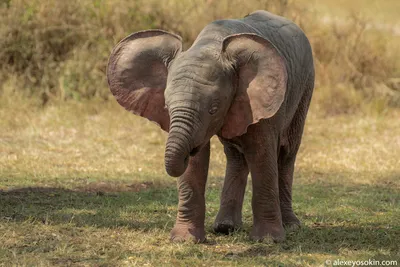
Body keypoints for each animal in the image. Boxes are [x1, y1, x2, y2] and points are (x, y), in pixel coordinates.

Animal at [108, 9, 314, 243]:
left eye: (214, 109)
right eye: (166, 106)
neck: (211, 45)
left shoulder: (261, 101)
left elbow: (262, 155)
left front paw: (268, 240)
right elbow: (197, 163)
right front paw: (185, 240)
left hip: (305, 88)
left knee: (287, 153)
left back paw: (291, 226)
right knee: (236, 156)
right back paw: (225, 227)